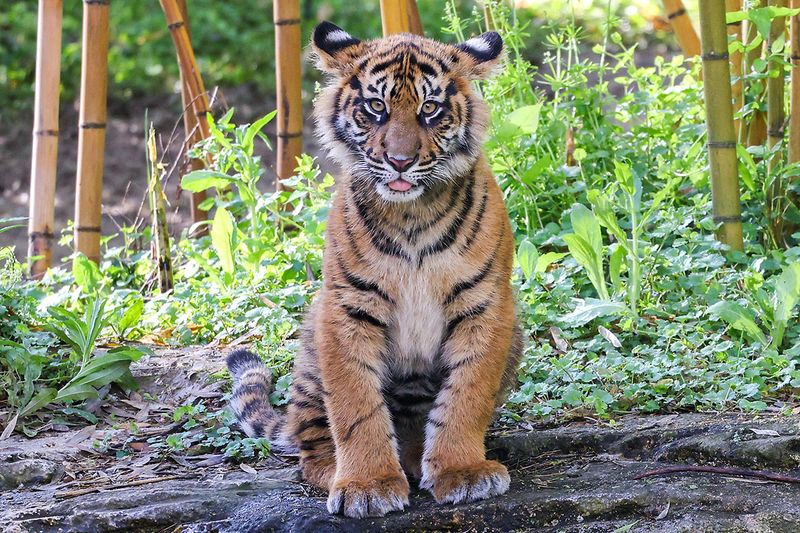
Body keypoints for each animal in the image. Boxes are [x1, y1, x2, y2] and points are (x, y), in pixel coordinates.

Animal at [227, 22, 524, 516]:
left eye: (429, 109)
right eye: (376, 108)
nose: (400, 161)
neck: (412, 216)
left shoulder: (486, 307)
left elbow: (467, 395)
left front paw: (462, 471)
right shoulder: (347, 309)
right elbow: (355, 405)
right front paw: (366, 485)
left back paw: (417, 462)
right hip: (310, 356)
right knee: (310, 449)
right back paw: (341, 471)